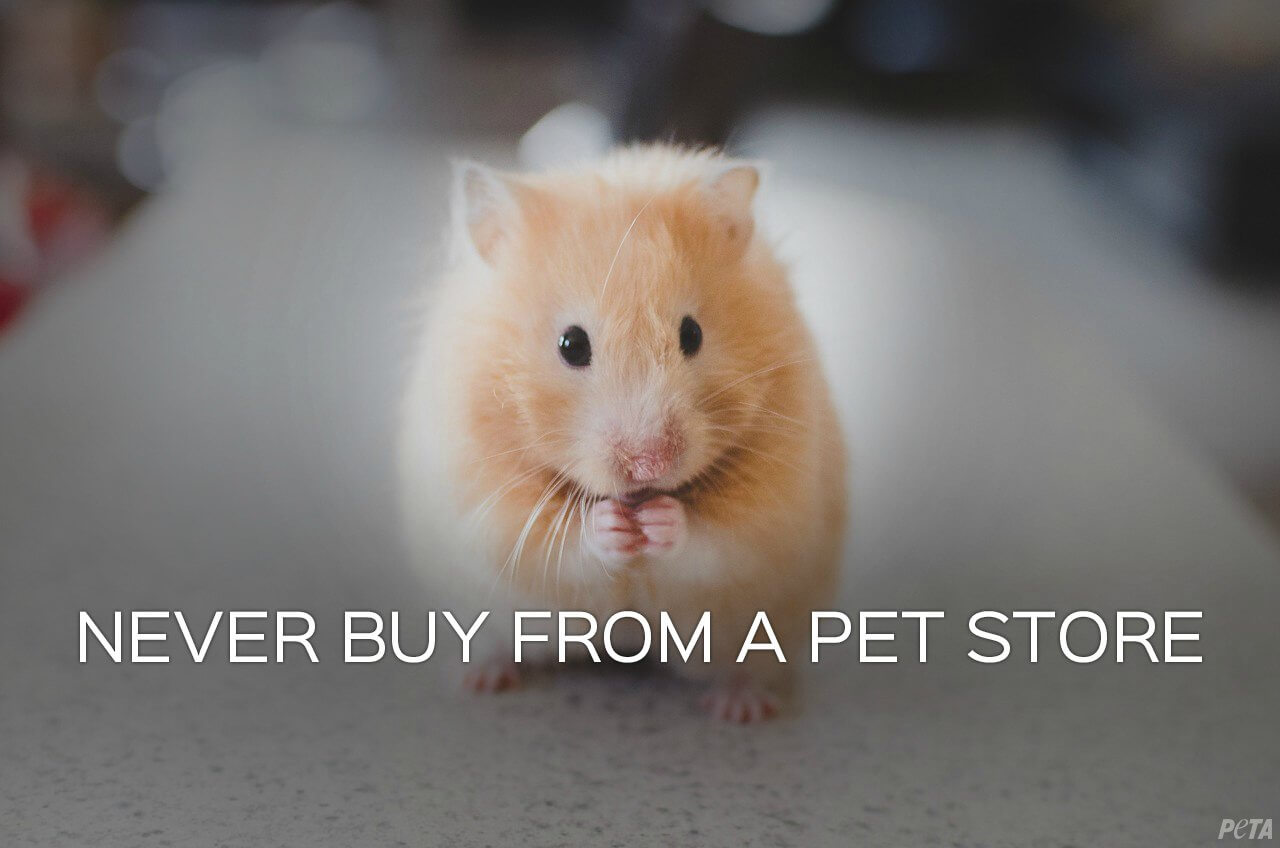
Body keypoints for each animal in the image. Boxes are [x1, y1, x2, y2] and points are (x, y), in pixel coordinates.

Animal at [399, 144, 846, 722]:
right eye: (571, 345)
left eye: (692, 334)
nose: (649, 464)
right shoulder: (484, 505)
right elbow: (561, 545)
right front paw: (612, 525)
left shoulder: (773, 514)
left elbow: (714, 541)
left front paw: (659, 521)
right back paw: (481, 679)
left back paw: (740, 708)